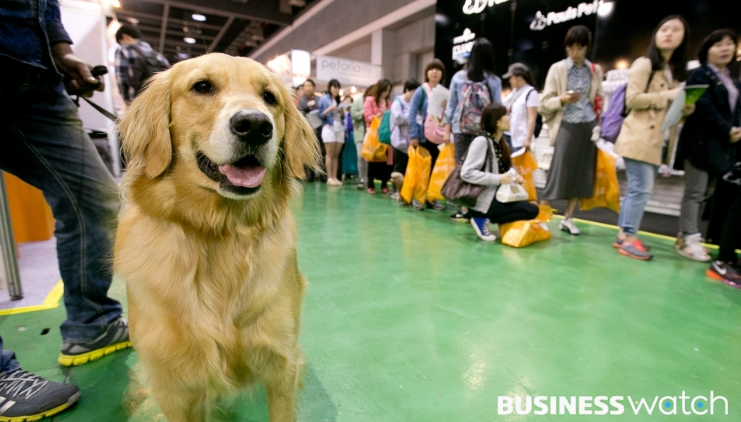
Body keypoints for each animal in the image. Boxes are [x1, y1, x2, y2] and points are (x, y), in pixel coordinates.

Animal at [112, 53, 318, 422]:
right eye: (202, 86)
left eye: (269, 97)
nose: (255, 125)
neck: (220, 231)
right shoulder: (173, 387)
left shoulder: (281, 364)